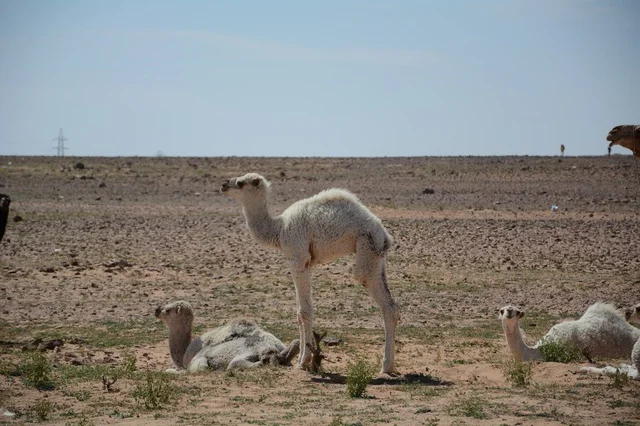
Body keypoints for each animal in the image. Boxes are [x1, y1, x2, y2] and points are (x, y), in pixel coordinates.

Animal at [221, 173, 399, 374]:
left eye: (241, 182)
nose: (224, 184)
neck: (279, 228)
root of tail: (383, 233)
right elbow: (299, 313)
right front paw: (301, 359)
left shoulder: (299, 260)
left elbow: (304, 311)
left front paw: (303, 361)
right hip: (378, 256)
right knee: (391, 305)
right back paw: (390, 365)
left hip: (367, 247)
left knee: (378, 294)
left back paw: (385, 367)